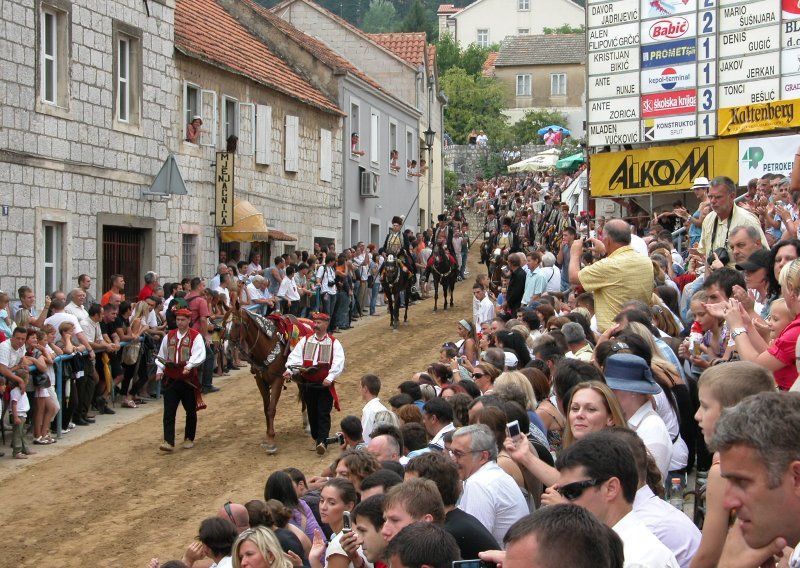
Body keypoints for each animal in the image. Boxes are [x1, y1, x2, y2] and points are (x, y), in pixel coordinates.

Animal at [228, 304, 312, 454]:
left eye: (237, 324)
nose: (229, 347)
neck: (266, 346)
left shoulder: (278, 380)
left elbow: (271, 409)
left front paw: (272, 442)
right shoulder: (260, 381)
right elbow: (266, 409)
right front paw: (268, 437)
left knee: (305, 395)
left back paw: (307, 426)